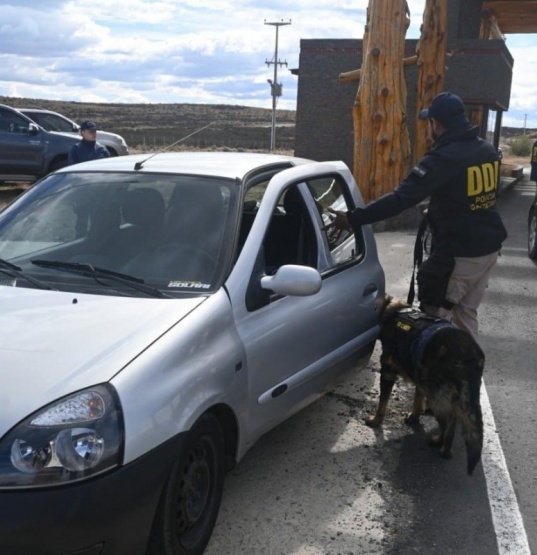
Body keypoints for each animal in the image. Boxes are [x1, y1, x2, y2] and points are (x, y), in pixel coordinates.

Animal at [366, 294, 484, 476]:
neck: (396, 311)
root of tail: (465, 357)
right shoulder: (420, 379)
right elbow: (417, 399)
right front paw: (414, 415)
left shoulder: (387, 372)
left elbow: (382, 404)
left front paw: (376, 420)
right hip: (454, 400)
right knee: (450, 430)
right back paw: (445, 450)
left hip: (438, 401)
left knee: (445, 427)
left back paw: (438, 442)